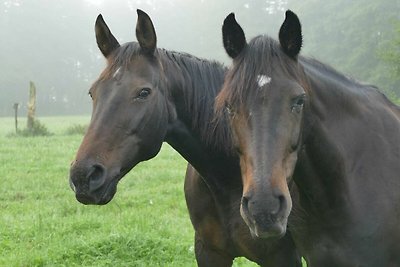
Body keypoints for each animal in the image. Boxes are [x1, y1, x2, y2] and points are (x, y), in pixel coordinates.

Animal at [68, 9, 300, 266]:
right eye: (93, 93)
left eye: (144, 92)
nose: (84, 176)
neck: (227, 180)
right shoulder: (209, 251)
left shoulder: (282, 257)